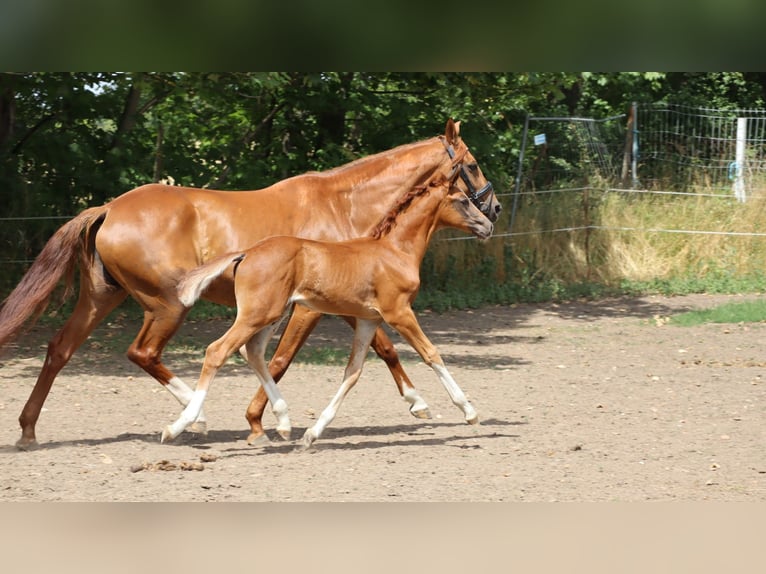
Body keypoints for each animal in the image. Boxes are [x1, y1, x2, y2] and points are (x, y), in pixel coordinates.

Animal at [163, 167, 495, 447]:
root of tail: (247, 252)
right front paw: (469, 411)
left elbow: (353, 372)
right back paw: (180, 425)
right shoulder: (399, 312)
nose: (489, 224)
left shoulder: (368, 320)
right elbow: (431, 353)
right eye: (463, 200)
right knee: (217, 351)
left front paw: (313, 433)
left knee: (252, 352)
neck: (394, 251)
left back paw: (283, 422)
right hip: (258, 314)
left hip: (270, 315)